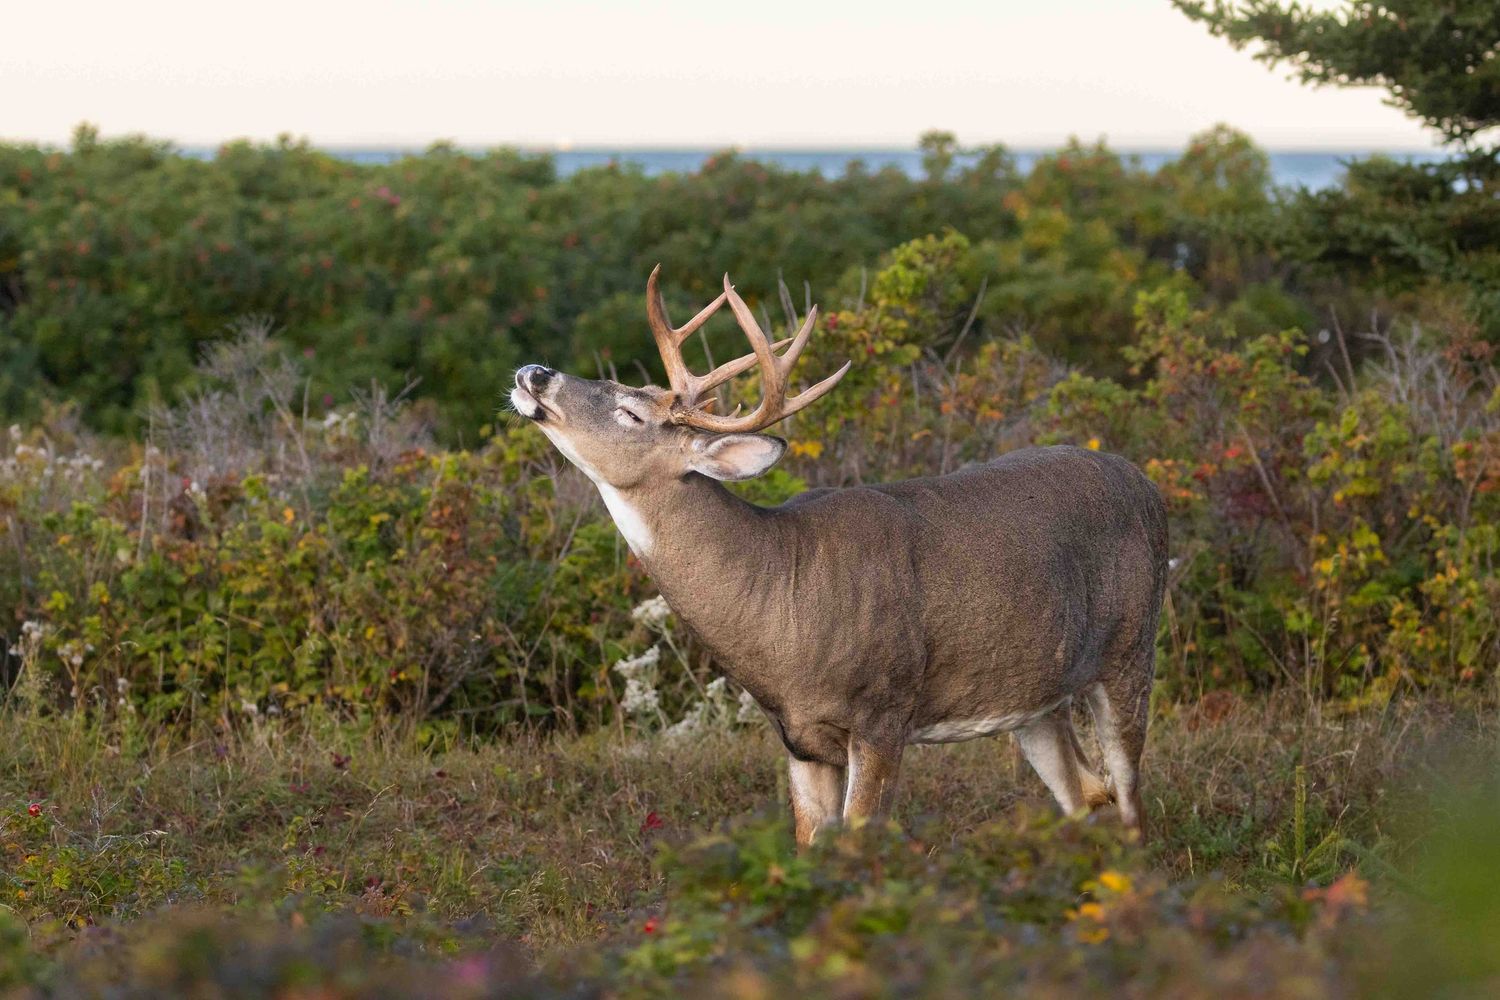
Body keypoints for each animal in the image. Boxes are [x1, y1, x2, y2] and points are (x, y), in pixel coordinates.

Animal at [510, 267, 1168, 846]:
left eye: (632, 411)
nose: (534, 372)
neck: (782, 602)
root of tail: (1145, 482)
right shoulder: (799, 741)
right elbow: (810, 844)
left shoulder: (883, 715)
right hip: (1034, 699)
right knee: (1086, 792)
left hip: (1132, 651)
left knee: (1130, 799)